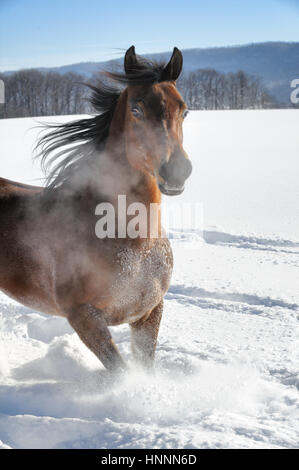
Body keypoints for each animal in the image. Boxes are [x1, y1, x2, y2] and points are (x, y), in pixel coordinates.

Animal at [0, 46, 192, 372]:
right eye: (136, 110)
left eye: (184, 109)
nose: (177, 171)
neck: (136, 245)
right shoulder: (84, 318)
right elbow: (121, 373)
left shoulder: (149, 313)